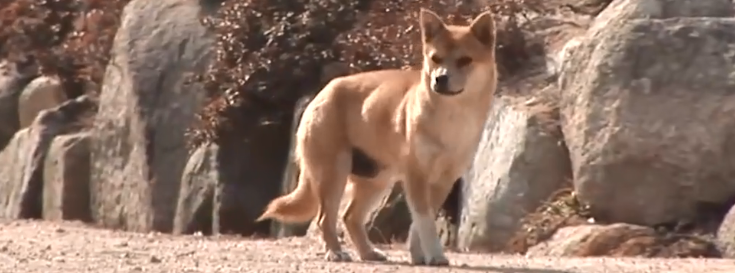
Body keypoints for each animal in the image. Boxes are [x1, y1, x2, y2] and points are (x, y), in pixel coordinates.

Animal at [256, 8, 498, 266]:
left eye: (465, 60)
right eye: (435, 58)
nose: (440, 79)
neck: (451, 116)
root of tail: (323, 91)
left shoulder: (443, 179)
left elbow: (421, 223)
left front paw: (419, 254)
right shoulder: (417, 176)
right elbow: (425, 222)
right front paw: (435, 254)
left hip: (376, 181)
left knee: (350, 217)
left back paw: (368, 253)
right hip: (334, 174)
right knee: (325, 219)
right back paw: (336, 252)